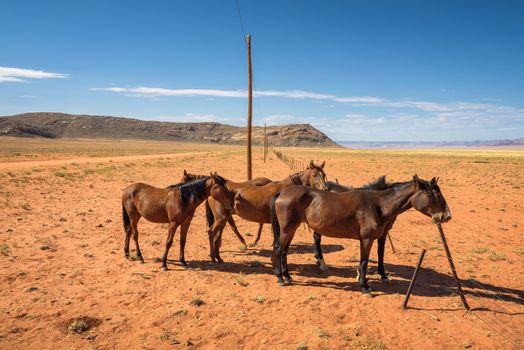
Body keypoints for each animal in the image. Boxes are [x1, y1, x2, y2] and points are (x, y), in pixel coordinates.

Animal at [270, 175, 450, 296]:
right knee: (279, 249)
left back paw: (287, 276)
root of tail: (281, 193)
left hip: (292, 229)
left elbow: (378, 256)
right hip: (287, 229)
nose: (446, 216)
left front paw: (380, 277)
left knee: (285, 251)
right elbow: (364, 262)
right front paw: (365, 286)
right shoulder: (367, 239)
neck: (378, 205)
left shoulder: (378, 237)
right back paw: (280, 278)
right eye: (430, 195)